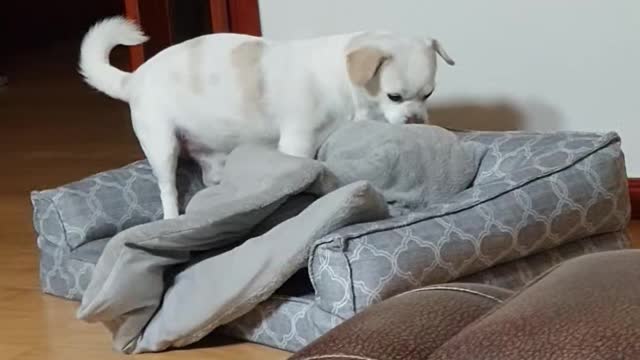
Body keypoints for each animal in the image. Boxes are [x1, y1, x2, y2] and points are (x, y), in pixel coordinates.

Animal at [80, 16, 456, 219]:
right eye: (395, 96)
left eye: (428, 95)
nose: (416, 120)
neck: (339, 78)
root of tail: (133, 78)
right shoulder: (298, 141)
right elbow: (306, 169)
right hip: (162, 145)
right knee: (167, 189)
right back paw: (172, 216)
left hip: (213, 158)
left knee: (213, 182)